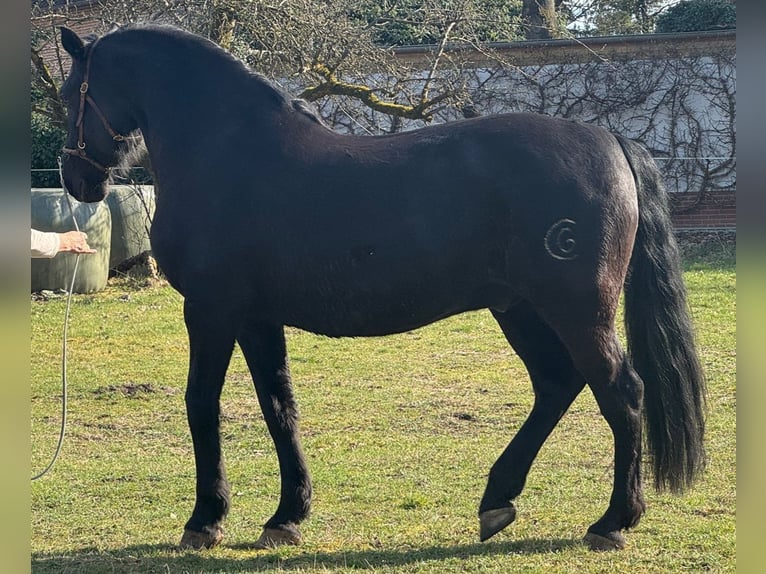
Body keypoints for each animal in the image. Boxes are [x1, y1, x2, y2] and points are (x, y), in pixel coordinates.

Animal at [58, 23, 706, 552]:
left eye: (70, 95)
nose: (76, 179)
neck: (226, 150)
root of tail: (611, 141)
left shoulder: (211, 310)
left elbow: (202, 404)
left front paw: (206, 520)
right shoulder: (257, 317)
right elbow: (278, 407)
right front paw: (287, 515)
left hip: (576, 311)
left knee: (621, 392)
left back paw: (613, 522)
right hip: (520, 308)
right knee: (557, 384)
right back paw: (498, 501)